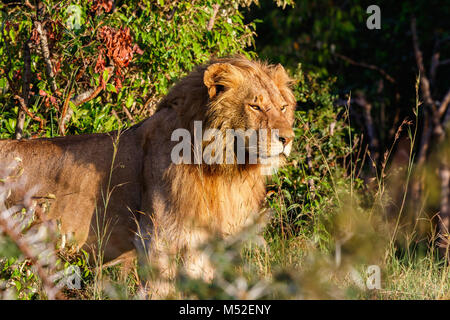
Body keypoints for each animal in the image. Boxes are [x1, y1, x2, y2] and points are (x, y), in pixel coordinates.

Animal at [0, 55, 296, 298]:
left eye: (282, 108)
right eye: (255, 107)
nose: (287, 138)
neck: (222, 168)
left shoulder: (204, 241)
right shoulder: (157, 237)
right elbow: (160, 289)